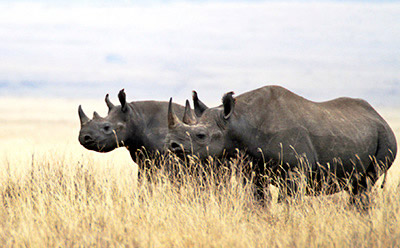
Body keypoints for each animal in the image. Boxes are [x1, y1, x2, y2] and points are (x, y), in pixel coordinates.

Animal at [166, 85, 396, 203]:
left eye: (201, 135)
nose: (172, 145)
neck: (237, 121)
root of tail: (379, 116)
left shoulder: (296, 169)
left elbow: (287, 201)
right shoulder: (254, 170)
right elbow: (258, 200)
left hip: (386, 139)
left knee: (364, 185)